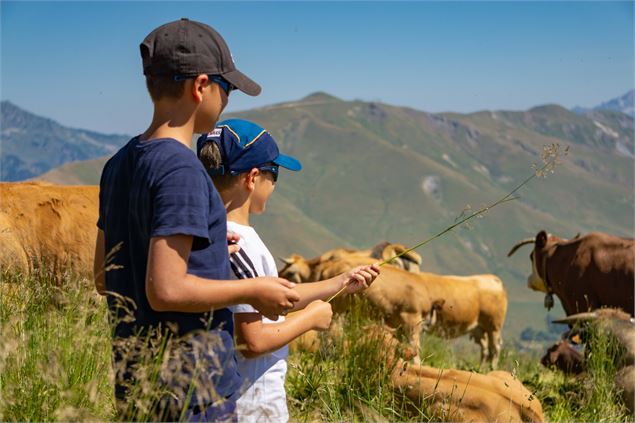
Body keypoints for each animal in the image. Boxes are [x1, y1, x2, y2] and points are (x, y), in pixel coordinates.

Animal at [280, 247, 510, 370]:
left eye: (290, 272)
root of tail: (493, 279)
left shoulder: (411, 320)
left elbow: (413, 349)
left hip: (493, 326)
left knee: (494, 349)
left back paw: (490, 369)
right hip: (482, 329)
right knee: (487, 350)